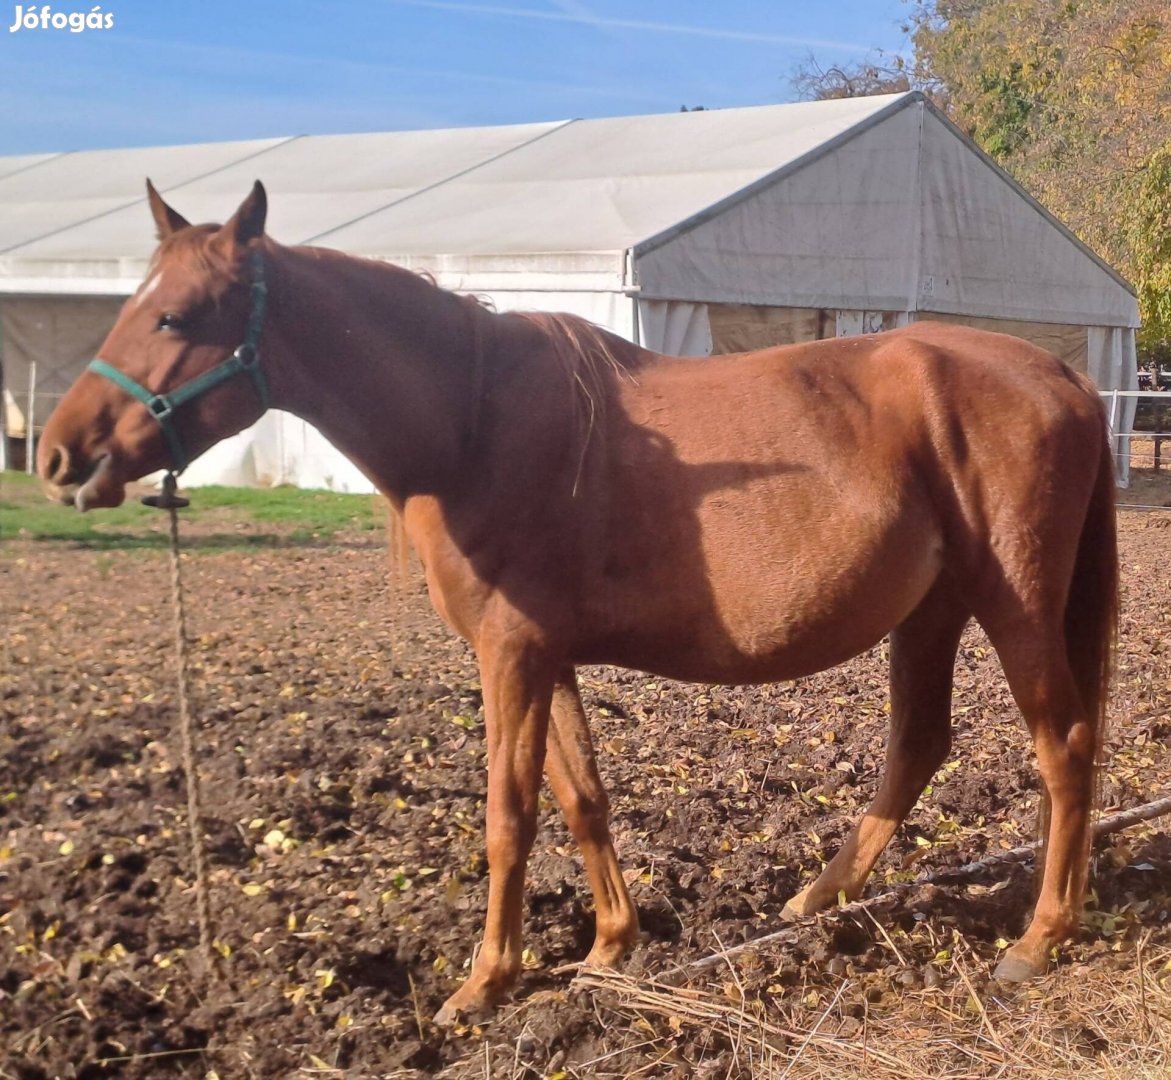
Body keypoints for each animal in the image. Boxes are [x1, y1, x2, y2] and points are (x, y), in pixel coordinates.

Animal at [36, 181, 1114, 1021]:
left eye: (177, 315)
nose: (58, 454)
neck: (471, 422)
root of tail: (1060, 373)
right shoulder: (541, 655)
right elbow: (579, 795)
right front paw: (607, 946)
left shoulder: (508, 656)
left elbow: (507, 816)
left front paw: (484, 984)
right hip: (929, 611)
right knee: (919, 744)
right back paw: (819, 900)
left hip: (1013, 603)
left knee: (1060, 745)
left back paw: (1040, 936)